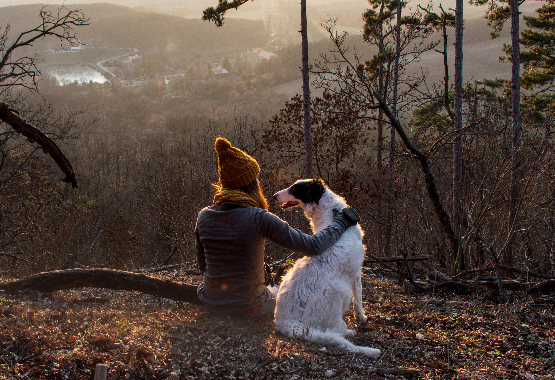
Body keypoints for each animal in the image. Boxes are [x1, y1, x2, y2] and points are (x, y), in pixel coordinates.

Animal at [272, 180, 380, 354]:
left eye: (295, 188)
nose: (274, 196)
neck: (332, 214)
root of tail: (286, 323)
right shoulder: (357, 272)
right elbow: (359, 299)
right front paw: (362, 318)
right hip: (340, 293)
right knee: (337, 329)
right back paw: (349, 331)